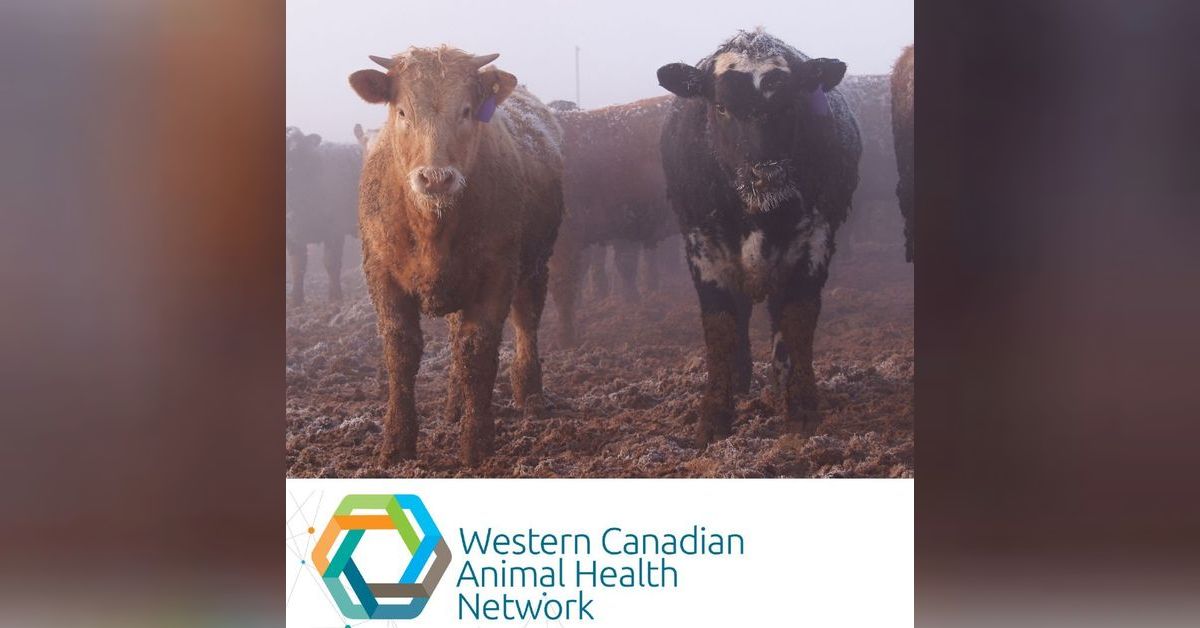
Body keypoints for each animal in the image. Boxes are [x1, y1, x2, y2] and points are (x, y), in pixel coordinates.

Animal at [285, 127, 362, 305]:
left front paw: (335, 297)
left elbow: (331, 263)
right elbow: (297, 267)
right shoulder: (292, 235)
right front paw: (295, 300)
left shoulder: (335, 230)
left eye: (299, 144)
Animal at [349, 47, 565, 466]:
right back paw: (454, 406)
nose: (435, 178)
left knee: (526, 322)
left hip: (535, 266)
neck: (432, 226)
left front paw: (477, 443)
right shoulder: (381, 274)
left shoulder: (498, 272)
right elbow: (401, 350)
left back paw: (530, 395)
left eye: (465, 110)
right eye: (402, 112)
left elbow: (477, 351)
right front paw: (397, 442)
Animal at [656, 29, 862, 445]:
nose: (766, 173)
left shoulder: (816, 238)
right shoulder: (702, 242)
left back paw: (779, 380)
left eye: (789, 104)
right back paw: (739, 379)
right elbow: (720, 324)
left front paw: (801, 408)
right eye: (720, 107)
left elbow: (797, 318)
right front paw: (715, 415)